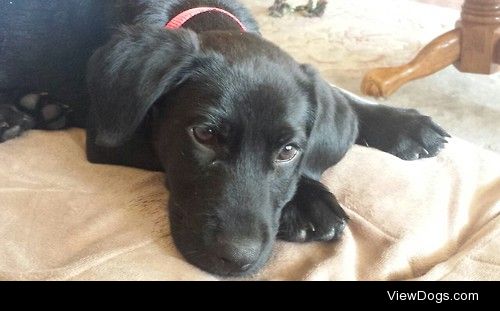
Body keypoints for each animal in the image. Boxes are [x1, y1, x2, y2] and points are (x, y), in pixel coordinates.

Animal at [0, 0, 450, 278]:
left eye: (288, 151)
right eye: (204, 134)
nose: (237, 261)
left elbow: (347, 104)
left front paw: (404, 124)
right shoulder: (109, 132)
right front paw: (311, 202)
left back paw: (38, 108)